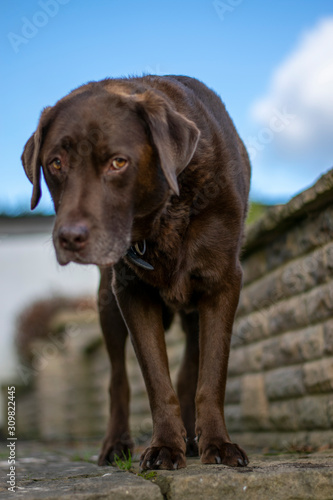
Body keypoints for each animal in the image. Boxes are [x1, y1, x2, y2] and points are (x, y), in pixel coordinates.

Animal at [21, 74, 249, 468]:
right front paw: (165, 447)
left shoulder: (223, 283)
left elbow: (212, 373)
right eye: (55, 163)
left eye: (118, 162)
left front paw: (218, 444)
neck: (165, 217)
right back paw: (116, 444)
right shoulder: (130, 293)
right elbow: (155, 378)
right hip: (106, 304)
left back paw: (193, 438)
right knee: (118, 380)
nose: (69, 238)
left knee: (191, 369)